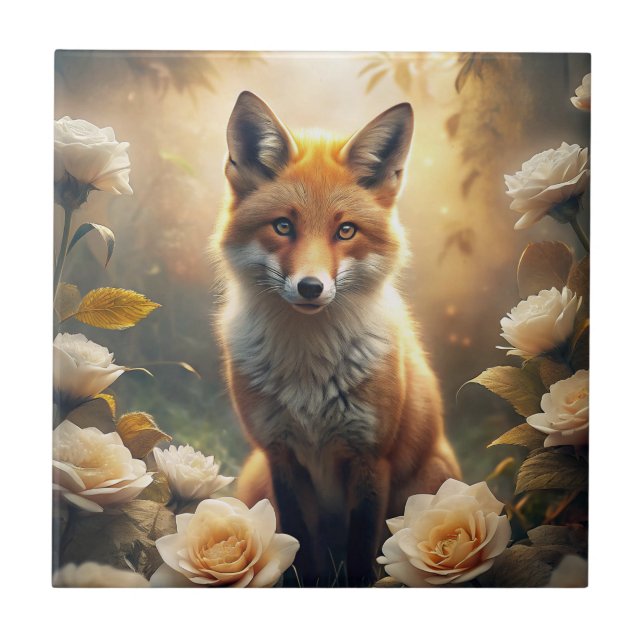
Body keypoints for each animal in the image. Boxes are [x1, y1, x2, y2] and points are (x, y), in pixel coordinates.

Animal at [211, 91, 461, 586]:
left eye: (345, 231)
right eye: (283, 226)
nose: (311, 287)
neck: (308, 370)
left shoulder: (371, 458)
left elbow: (362, 557)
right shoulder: (280, 456)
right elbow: (298, 551)